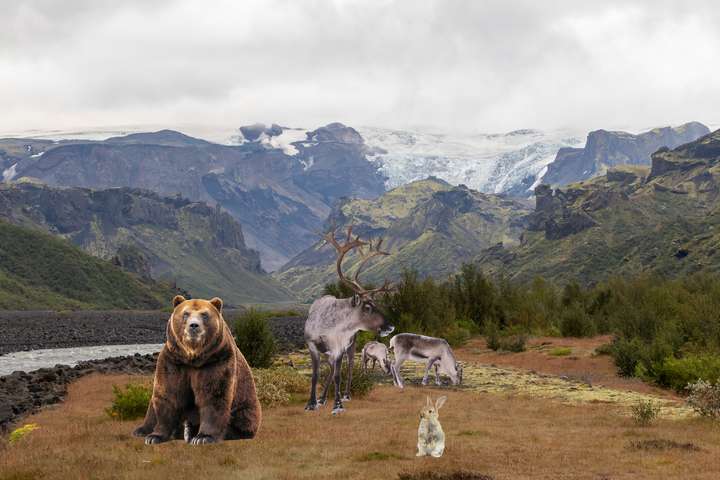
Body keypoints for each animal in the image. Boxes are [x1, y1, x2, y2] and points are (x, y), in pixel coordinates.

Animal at [132, 296, 262, 446]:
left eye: (204, 314)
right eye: (185, 313)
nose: (194, 325)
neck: (193, 357)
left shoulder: (216, 361)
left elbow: (214, 396)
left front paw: (203, 437)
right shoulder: (173, 362)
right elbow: (168, 395)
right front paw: (154, 436)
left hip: (246, 406)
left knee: (242, 418)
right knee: (152, 407)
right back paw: (142, 430)